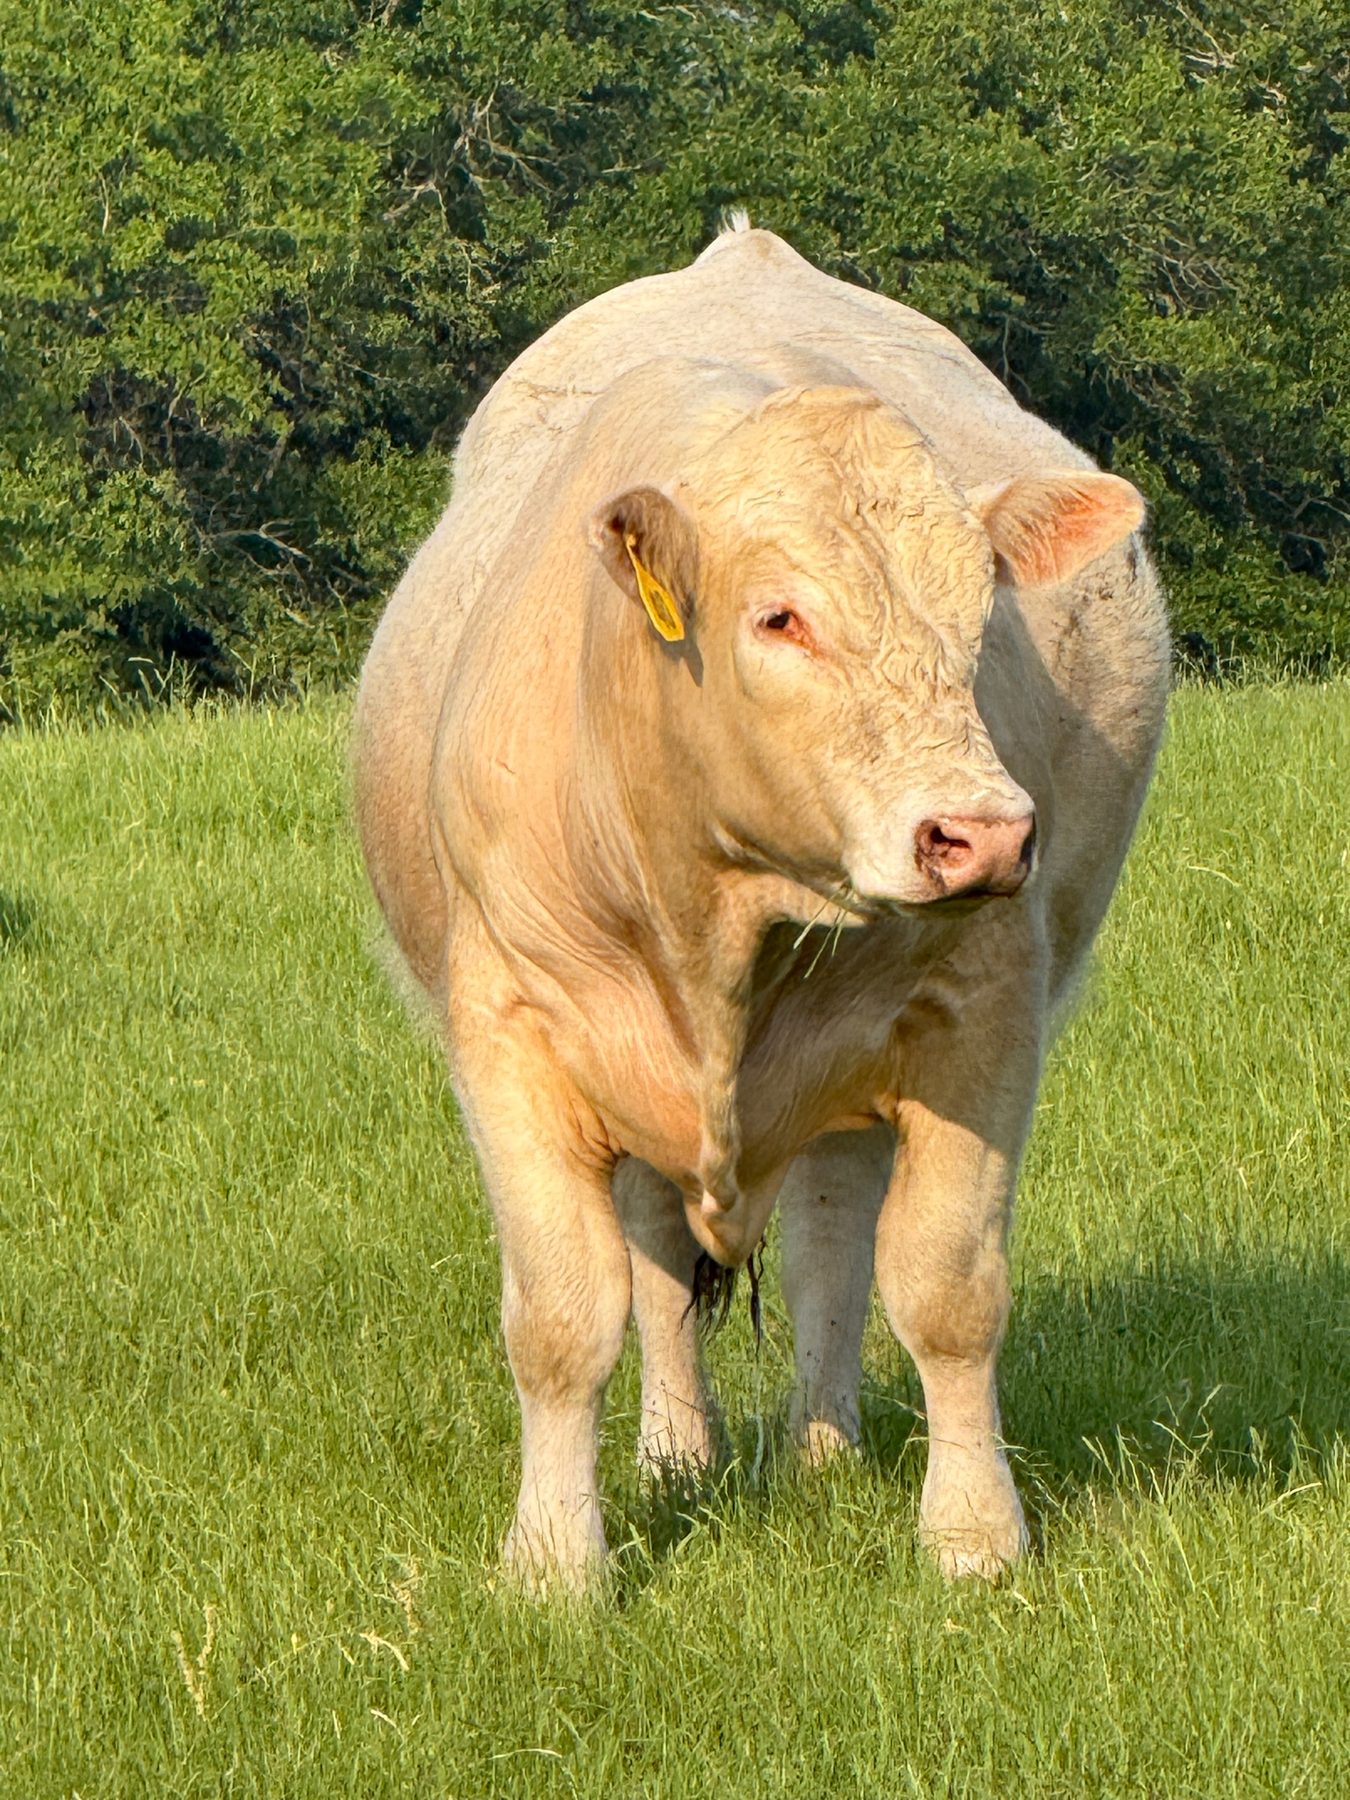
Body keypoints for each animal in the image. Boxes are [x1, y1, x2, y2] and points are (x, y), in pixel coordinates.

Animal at [353, 218, 1169, 1592]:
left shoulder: (983, 1013)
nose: (981, 834)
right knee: (654, 1253)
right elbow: (564, 1314)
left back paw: (821, 1452)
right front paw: (556, 1565)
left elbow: (948, 1288)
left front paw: (973, 1541)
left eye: (983, 614)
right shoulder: (511, 1027)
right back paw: (679, 1456)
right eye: (779, 615)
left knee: (834, 1237)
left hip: (852, 1067)